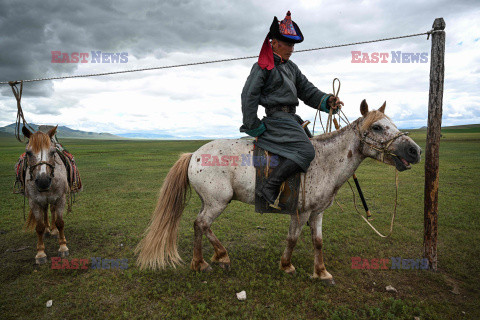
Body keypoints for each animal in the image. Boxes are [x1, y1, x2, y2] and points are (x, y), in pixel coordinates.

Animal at [22, 126, 70, 264]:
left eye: (52, 152)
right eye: (28, 152)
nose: (43, 181)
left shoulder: (61, 198)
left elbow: (60, 222)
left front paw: (63, 247)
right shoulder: (34, 201)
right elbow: (39, 227)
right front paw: (40, 254)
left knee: (52, 210)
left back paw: (53, 230)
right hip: (42, 201)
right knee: (45, 211)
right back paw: (48, 230)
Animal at [135, 100, 420, 284]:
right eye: (377, 127)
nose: (414, 150)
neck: (325, 161)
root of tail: (193, 155)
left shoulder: (317, 212)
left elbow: (318, 241)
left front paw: (322, 272)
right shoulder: (301, 212)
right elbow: (292, 239)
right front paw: (287, 266)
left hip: (210, 202)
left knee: (198, 225)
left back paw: (203, 261)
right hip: (218, 202)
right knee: (202, 223)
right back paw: (218, 258)